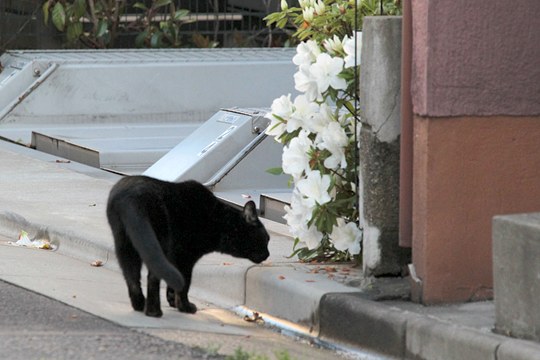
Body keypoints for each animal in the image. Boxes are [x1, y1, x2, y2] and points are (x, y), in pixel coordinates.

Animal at [106, 176, 270, 316]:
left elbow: (173, 281)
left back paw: (140, 305)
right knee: (152, 276)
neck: (218, 221)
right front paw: (184, 307)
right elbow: (185, 284)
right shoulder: (186, 256)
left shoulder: (174, 258)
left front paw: (172, 300)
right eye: (266, 239)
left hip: (125, 245)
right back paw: (154, 312)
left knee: (132, 277)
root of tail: (131, 197)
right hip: (158, 241)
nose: (268, 254)